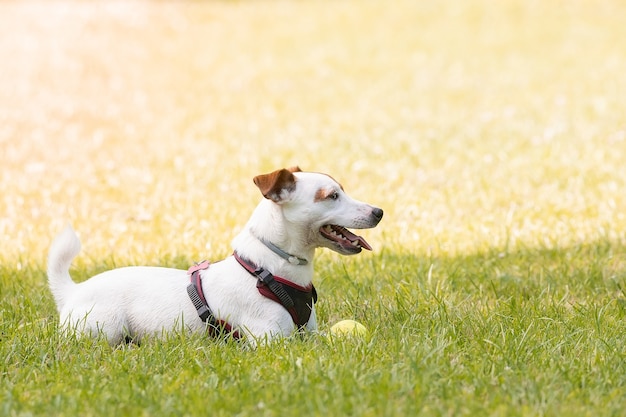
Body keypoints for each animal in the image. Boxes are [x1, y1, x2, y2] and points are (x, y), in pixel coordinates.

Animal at [46, 167, 380, 344]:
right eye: (332, 196)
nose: (379, 211)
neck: (269, 270)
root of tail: (72, 291)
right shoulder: (271, 339)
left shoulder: (308, 332)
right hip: (105, 327)